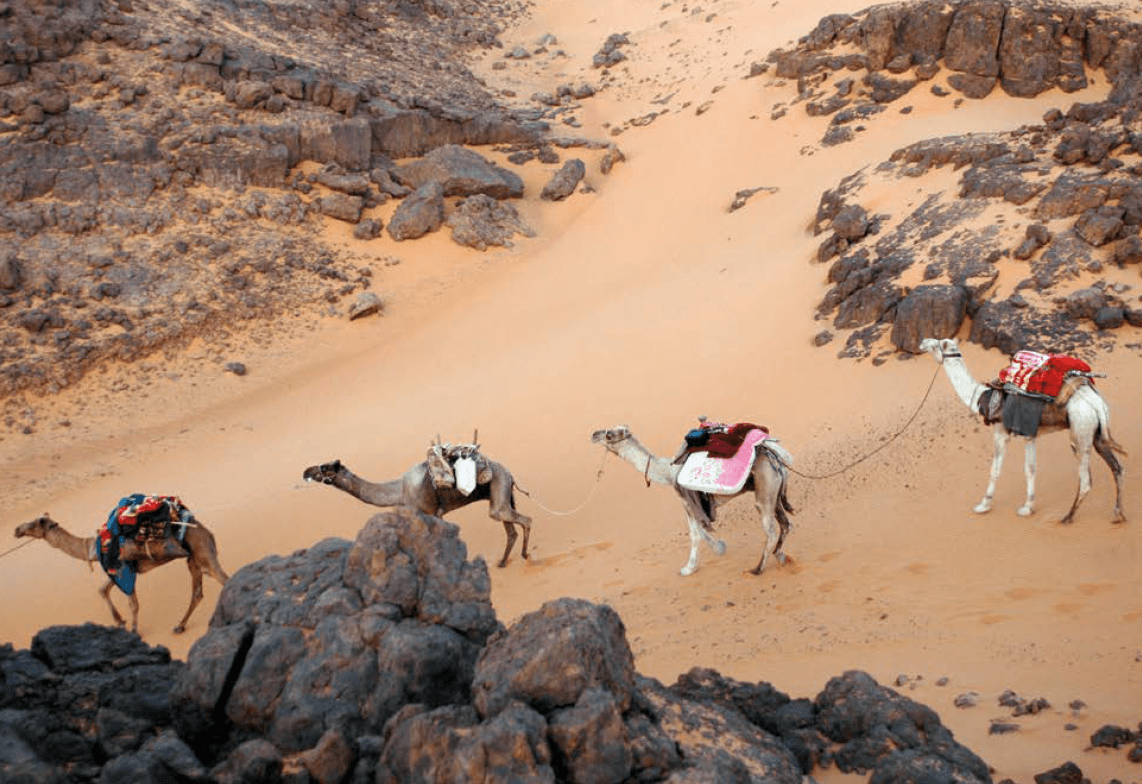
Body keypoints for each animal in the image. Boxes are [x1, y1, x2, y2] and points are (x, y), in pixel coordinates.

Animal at [14, 511, 229, 634]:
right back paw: (179, 626)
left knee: (223, 579)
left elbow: (133, 603)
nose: (16, 529)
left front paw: (133, 630)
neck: (92, 548)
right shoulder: (116, 570)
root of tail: (207, 531)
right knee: (198, 592)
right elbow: (103, 590)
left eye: (34, 523)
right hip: (193, 560)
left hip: (202, 551)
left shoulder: (123, 567)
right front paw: (119, 622)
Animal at [303, 454, 534, 570]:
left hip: (499, 489)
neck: (398, 490)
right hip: (500, 497)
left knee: (526, 520)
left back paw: (525, 555)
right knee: (511, 530)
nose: (306, 471)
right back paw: (503, 563)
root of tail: (510, 474)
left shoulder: (430, 513)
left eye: (324, 468)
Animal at [589, 422, 794, 577]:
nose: (593, 434)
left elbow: (695, 533)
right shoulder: (698, 504)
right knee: (785, 523)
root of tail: (774, 456)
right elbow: (701, 528)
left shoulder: (687, 500)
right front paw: (720, 548)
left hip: (764, 489)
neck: (668, 471)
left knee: (771, 529)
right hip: (774, 492)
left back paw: (757, 569)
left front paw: (688, 568)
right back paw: (780, 556)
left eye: (609, 434)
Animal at [918, 335, 1123, 524]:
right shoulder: (1029, 434)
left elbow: (995, 470)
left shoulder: (1000, 432)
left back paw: (1067, 517)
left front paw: (983, 505)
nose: (923, 342)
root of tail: (1096, 403)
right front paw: (1027, 507)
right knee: (1117, 467)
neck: (982, 397)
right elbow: (1030, 469)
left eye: (937, 344)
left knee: (1086, 479)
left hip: (1081, 429)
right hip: (1097, 432)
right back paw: (1118, 514)